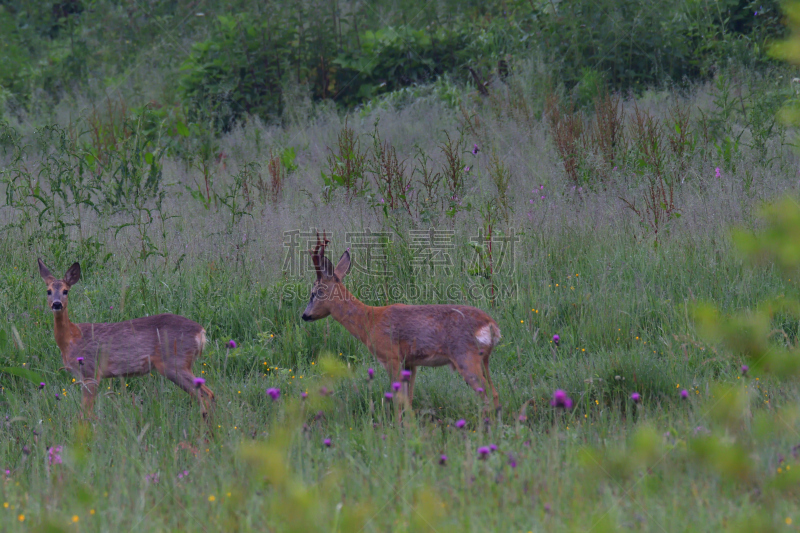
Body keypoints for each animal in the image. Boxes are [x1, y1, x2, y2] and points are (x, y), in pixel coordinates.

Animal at [38, 260, 216, 418]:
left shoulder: (90, 371)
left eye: (65, 290)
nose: (56, 304)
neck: (71, 338)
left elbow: (85, 413)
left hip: (175, 363)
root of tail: (201, 332)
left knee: (207, 395)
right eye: (48, 291)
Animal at [300, 233, 500, 412]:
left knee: (487, 395)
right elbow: (409, 399)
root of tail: (491, 325)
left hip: (465, 355)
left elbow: (399, 399)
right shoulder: (410, 362)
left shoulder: (391, 356)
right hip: (484, 359)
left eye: (315, 292)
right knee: (495, 392)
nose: (305, 315)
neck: (369, 321)